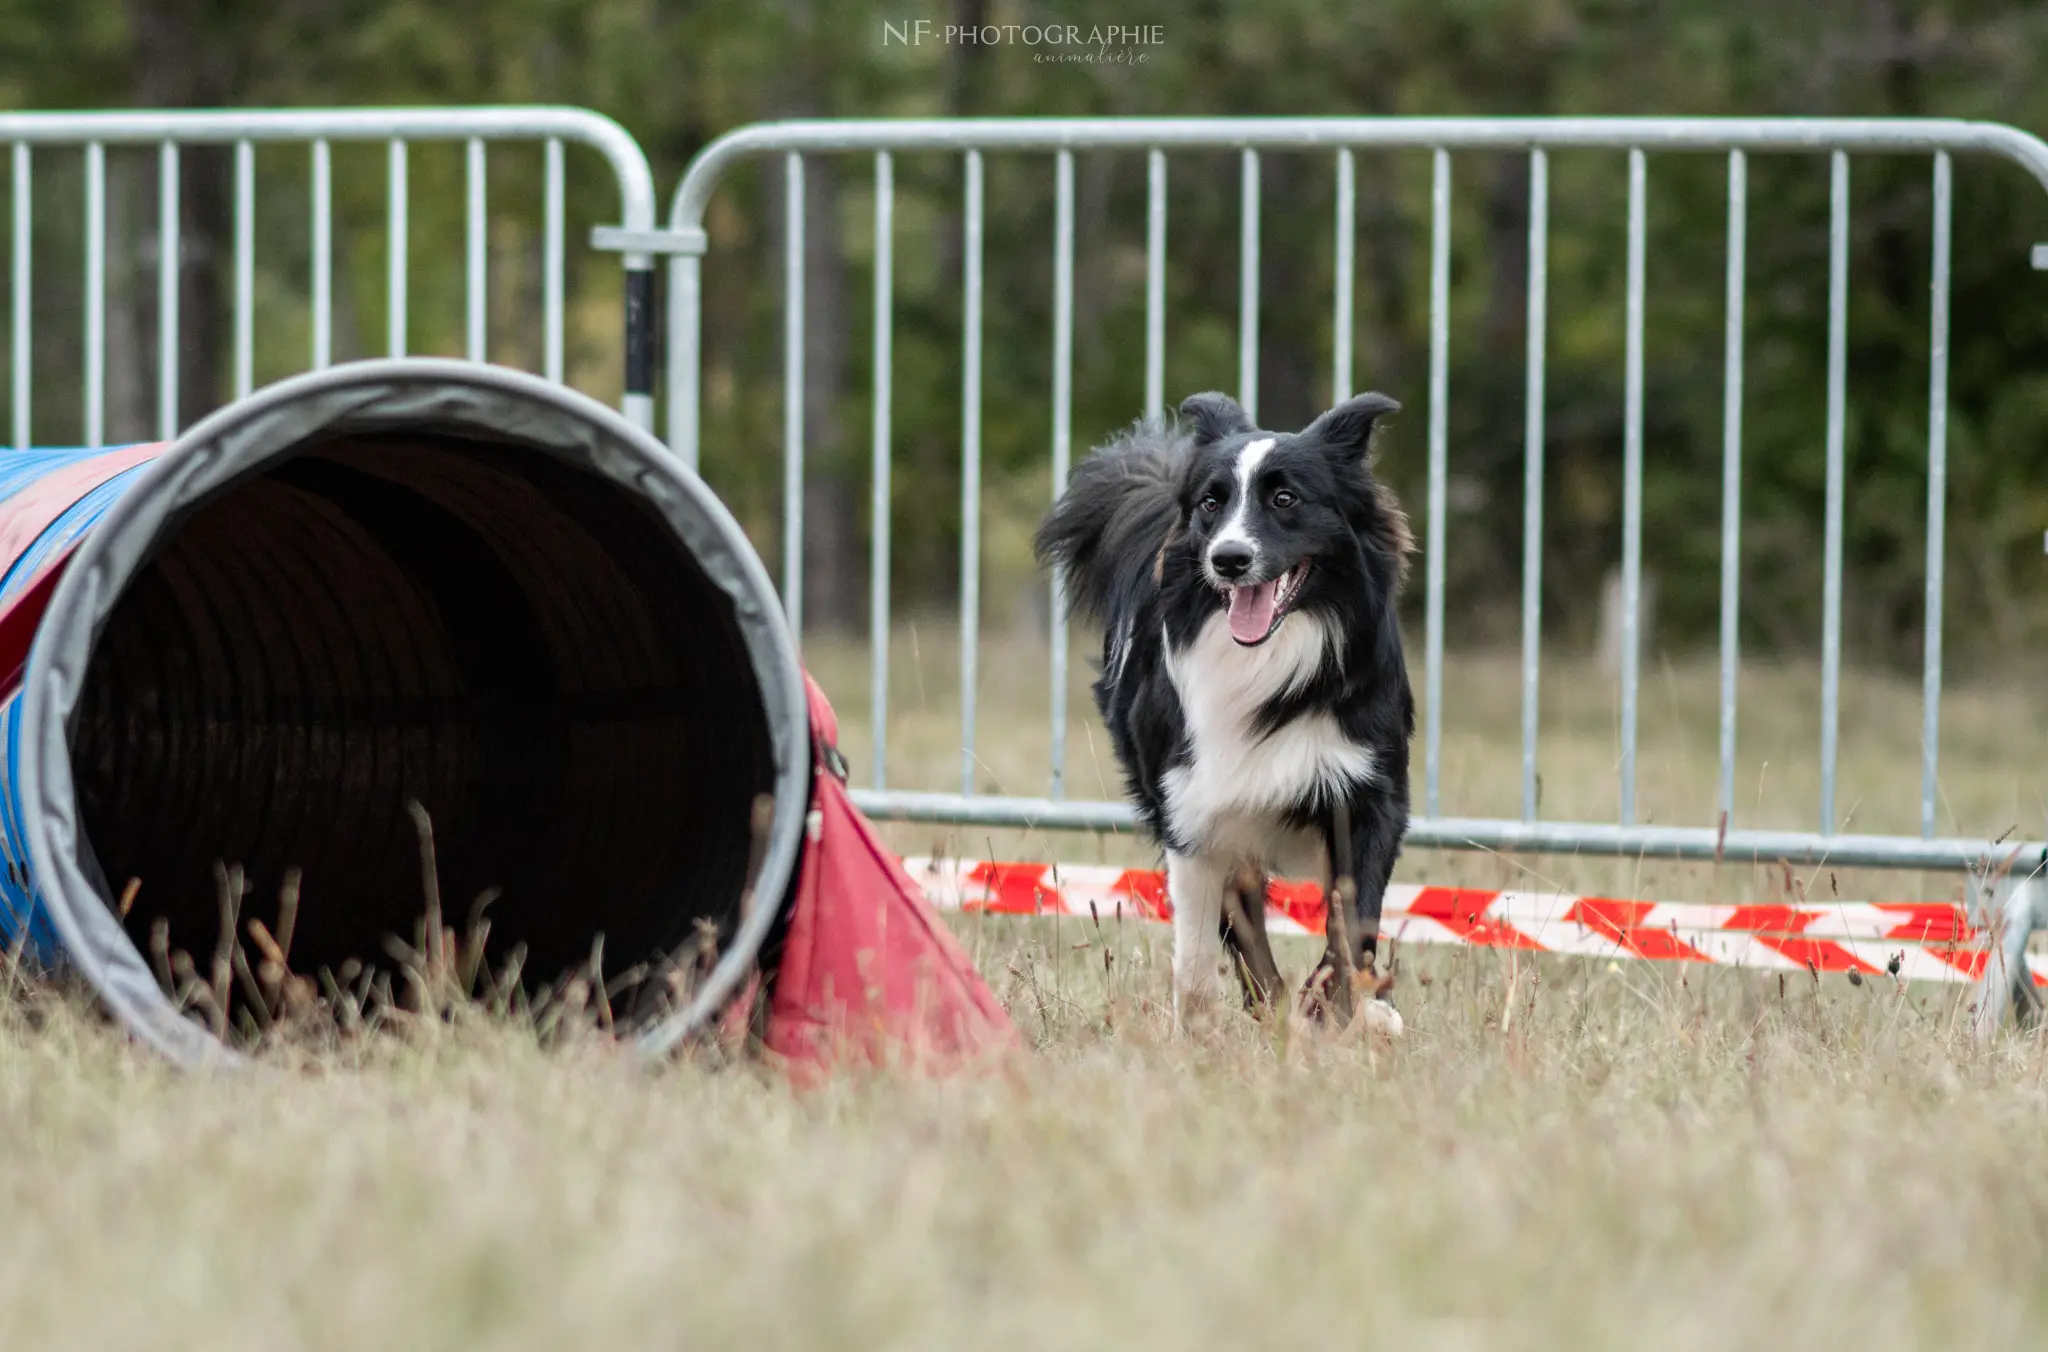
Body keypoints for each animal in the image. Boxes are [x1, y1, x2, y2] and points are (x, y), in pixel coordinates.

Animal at [1040, 387, 1409, 1016]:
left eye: (1286, 498)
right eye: (1211, 503)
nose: (1228, 559)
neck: (1268, 661)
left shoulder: (1369, 791)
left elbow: (1353, 916)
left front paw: (1334, 1007)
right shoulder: (1194, 809)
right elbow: (1213, 947)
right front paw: (1270, 1013)